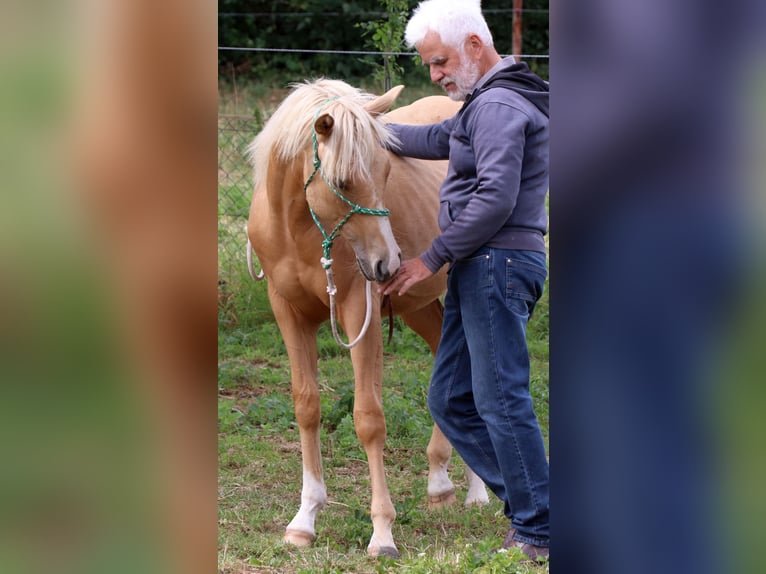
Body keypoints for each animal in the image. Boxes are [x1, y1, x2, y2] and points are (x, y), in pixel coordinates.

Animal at [246, 79, 488, 558]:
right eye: (342, 181)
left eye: (387, 171)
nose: (387, 263)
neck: (300, 229)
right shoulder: (287, 312)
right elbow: (306, 406)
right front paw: (304, 519)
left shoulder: (362, 312)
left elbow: (369, 419)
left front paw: (382, 533)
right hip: (417, 306)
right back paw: (440, 481)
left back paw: (476, 489)